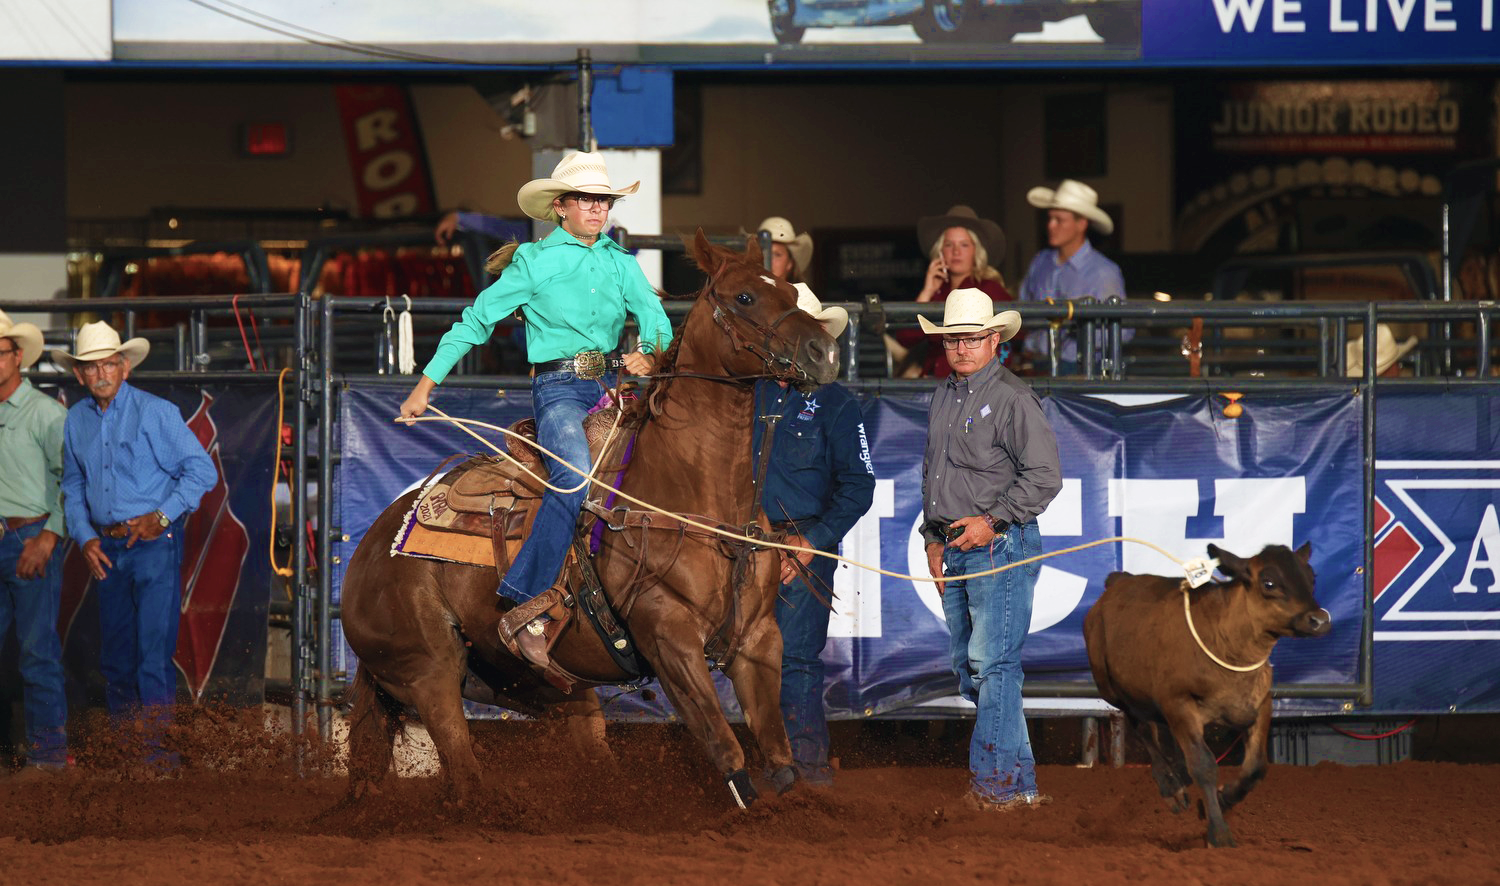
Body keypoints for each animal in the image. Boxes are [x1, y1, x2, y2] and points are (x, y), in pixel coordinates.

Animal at [336, 230, 846, 809]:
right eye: (745, 297)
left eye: (788, 288)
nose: (826, 352)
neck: (693, 495)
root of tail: (370, 546)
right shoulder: (668, 637)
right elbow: (725, 746)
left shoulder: (758, 639)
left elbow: (779, 754)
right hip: (428, 672)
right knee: (462, 768)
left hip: (538, 685)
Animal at [1086, 545, 1332, 851]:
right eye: (1269, 582)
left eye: (1311, 578)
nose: (1319, 620)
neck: (1227, 642)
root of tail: (1118, 581)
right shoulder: (1178, 703)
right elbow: (1203, 765)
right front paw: (1219, 833)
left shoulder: (1260, 704)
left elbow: (1255, 766)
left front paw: (1224, 799)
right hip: (1116, 691)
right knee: (1143, 729)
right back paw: (1170, 786)